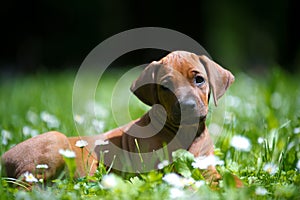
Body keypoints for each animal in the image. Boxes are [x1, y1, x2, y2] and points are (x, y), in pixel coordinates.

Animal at [1, 51, 236, 183]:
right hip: (53, 141)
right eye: (166, 86)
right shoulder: (161, 170)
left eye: (199, 79)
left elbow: (227, 177)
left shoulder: (206, 165)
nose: (187, 106)